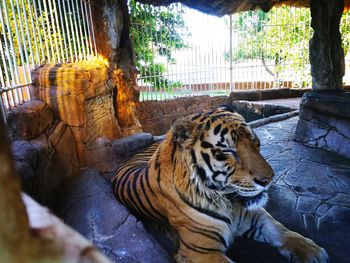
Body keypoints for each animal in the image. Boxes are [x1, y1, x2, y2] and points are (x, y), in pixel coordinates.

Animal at [111, 105, 328, 263]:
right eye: (229, 151)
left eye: (255, 142)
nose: (268, 179)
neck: (230, 203)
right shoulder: (201, 251)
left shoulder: (253, 215)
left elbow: (280, 229)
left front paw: (313, 251)